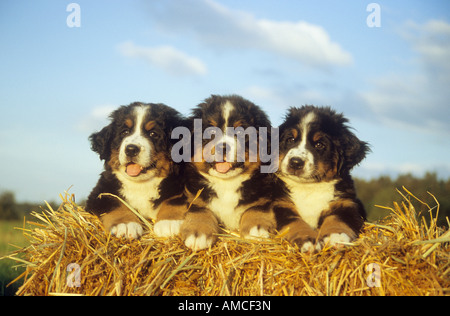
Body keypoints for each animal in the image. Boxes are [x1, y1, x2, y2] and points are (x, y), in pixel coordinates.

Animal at [86, 103, 185, 239]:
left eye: (153, 134)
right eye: (125, 132)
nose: (131, 149)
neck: (141, 184)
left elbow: (174, 200)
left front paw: (169, 222)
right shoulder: (101, 192)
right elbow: (114, 203)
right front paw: (125, 224)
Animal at [274, 105, 370, 252]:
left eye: (319, 145)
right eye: (290, 140)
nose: (295, 162)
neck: (308, 188)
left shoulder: (344, 204)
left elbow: (337, 219)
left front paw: (337, 236)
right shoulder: (282, 206)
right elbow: (296, 223)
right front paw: (308, 240)